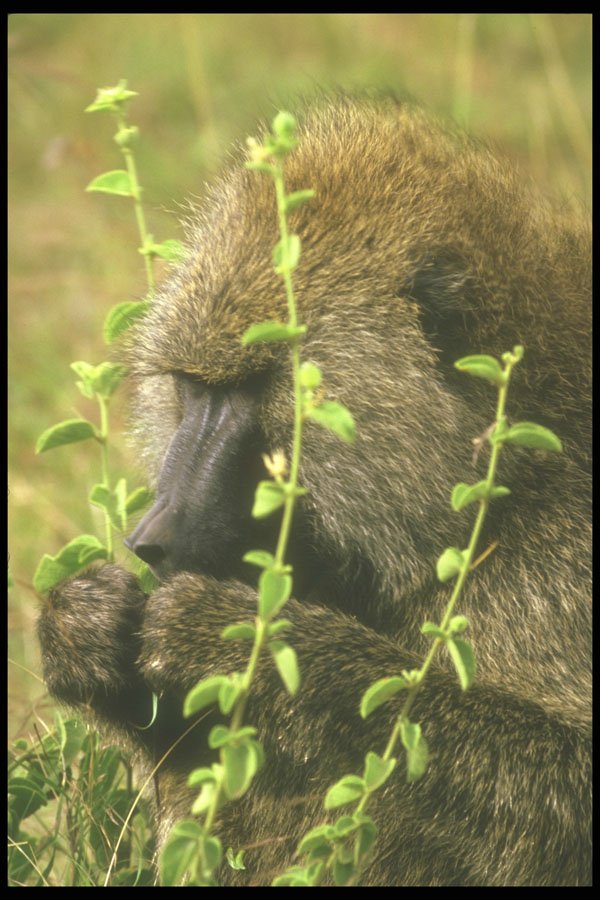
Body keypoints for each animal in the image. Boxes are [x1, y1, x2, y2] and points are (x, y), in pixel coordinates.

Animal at [38, 97, 591, 886]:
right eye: (194, 390)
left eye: (254, 390)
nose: (152, 538)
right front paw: (83, 624)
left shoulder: (557, 573)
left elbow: (566, 793)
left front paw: (243, 643)